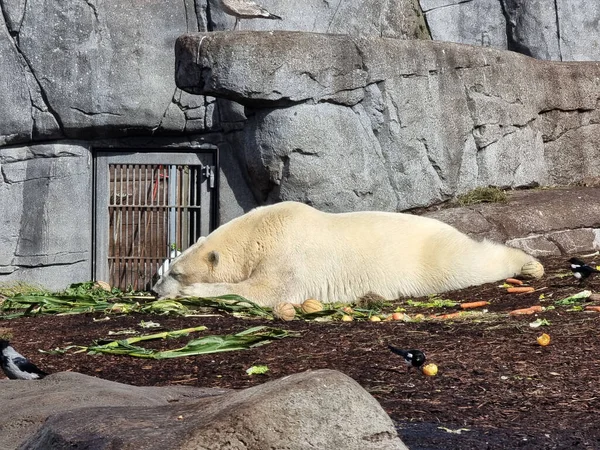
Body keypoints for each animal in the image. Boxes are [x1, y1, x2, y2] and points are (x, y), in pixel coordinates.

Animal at [154, 202, 544, 308]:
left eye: (176, 272)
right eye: (165, 268)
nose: (153, 290)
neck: (258, 235)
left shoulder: (288, 253)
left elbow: (270, 291)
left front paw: (192, 293)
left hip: (434, 258)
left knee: (473, 263)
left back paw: (530, 265)